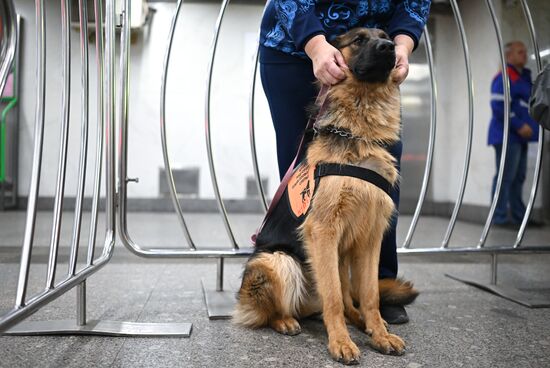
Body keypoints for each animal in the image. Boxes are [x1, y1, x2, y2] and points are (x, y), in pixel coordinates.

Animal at [235, 28, 420, 366]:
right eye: (358, 40)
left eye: (386, 36)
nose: (390, 47)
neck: (359, 135)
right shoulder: (323, 231)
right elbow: (332, 296)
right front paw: (341, 343)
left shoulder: (371, 238)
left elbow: (370, 294)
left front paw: (378, 334)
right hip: (279, 261)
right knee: (275, 311)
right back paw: (286, 321)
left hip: (343, 257)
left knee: (349, 301)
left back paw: (363, 322)